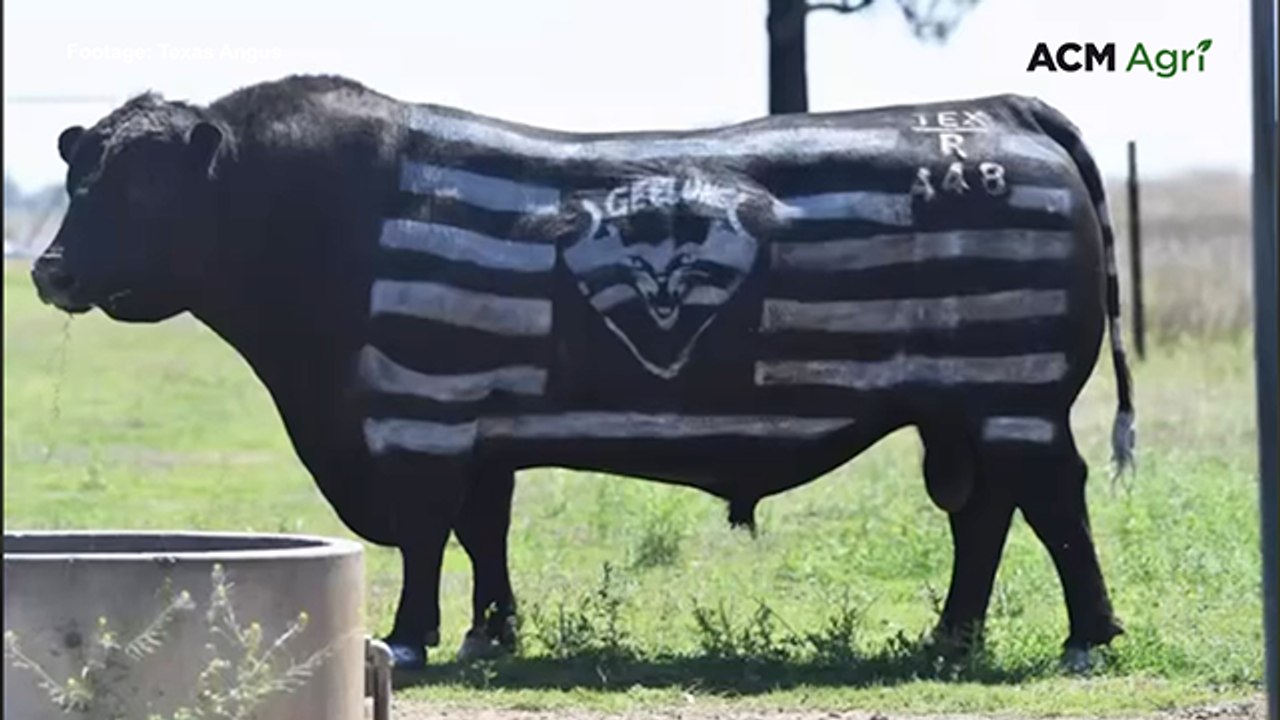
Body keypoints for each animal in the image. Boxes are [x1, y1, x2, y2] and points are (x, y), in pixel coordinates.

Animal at [31, 74, 1135, 672]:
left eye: (140, 187)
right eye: (80, 178)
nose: (49, 271)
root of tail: (1000, 109)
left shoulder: (418, 415)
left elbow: (426, 535)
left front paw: (410, 638)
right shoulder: (479, 427)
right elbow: (482, 532)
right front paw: (491, 633)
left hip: (1016, 395)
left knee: (1052, 502)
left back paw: (1087, 637)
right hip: (958, 407)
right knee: (982, 513)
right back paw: (951, 636)